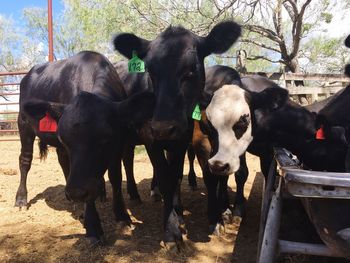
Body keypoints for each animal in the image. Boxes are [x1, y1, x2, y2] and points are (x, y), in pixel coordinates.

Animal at [15, 51, 154, 245]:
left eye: (106, 138)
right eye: (63, 138)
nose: (75, 193)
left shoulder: (119, 145)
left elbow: (116, 177)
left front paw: (121, 215)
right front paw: (93, 226)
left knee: (63, 163)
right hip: (24, 125)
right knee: (25, 161)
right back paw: (21, 199)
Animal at [113, 21, 242, 246]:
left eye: (192, 70)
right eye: (150, 71)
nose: (163, 127)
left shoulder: (181, 140)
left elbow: (175, 176)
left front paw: (179, 215)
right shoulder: (150, 138)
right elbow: (166, 179)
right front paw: (171, 231)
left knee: (129, 159)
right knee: (124, 162)